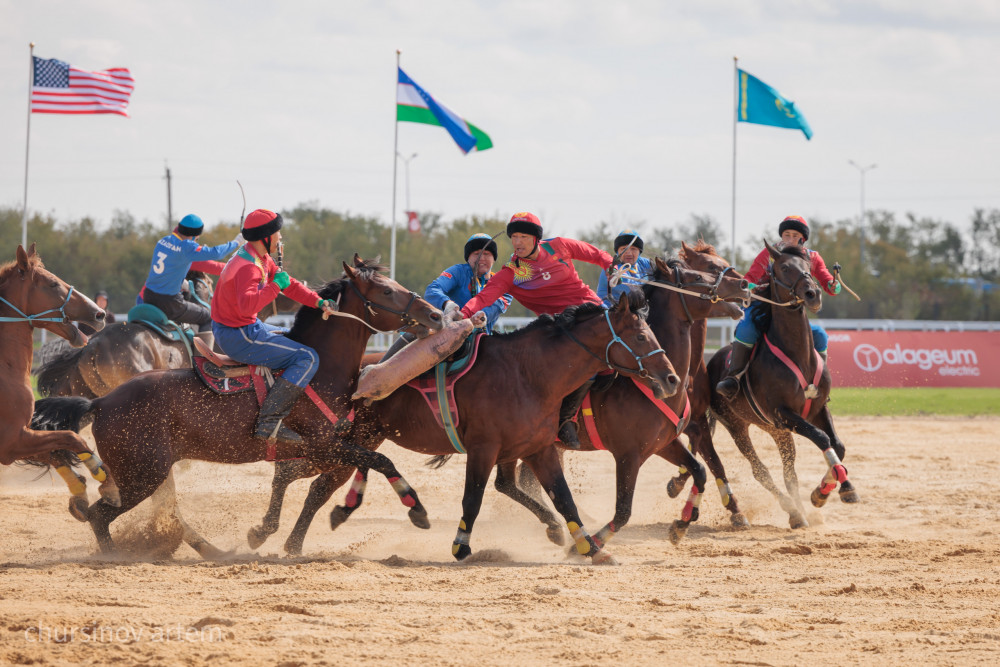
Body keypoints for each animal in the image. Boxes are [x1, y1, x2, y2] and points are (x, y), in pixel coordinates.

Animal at [0, 245, 118, 506]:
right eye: (53, 283)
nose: (99, 314)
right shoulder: (11, 440)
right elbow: (71, 437)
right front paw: (101, 474)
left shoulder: (19, 440)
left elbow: (55, 451)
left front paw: (82, 486)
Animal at [29, 256, 444, 552]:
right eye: (386, 291)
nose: (435, 313)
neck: (321, 369)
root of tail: (101, 403)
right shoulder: (327, 445)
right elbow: (381, 460)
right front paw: (418, 511)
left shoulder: (322, 450)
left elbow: (301, 479)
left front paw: (264, 532)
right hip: (142, 476)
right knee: (100, 515)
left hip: (141, 473)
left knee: (114, 509)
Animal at [254, 290, 684, 568]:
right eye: (641, 335)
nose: (671, 379)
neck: (527, 374)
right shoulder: (483, 449)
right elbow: (472, 500)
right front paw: (460, 546)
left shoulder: (540, 450)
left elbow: (564, 501)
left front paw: (591, 548)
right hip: (339, 444)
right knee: (300, 477)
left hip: (351, 443)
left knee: (315, 485)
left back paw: (296, 537)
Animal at [700, 243, 856, 528]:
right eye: (783, 267)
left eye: (808, 267)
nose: (812, 293)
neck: (798, 356)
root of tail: (713, 361)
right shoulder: (783, 413)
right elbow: (822, 437)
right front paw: (827, 491)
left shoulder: (816, 409)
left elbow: (837, 445)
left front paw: (831, 490)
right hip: (737, 425)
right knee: (760, 470)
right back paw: (793, 512)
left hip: (777, 431)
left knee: (788, 471)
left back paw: (800, 511)